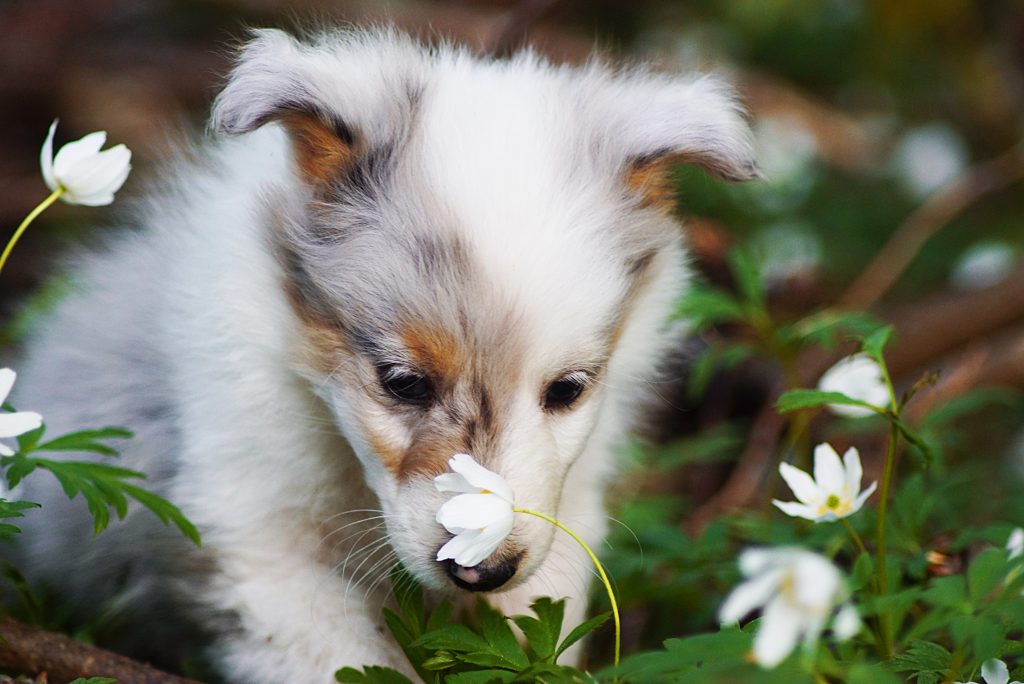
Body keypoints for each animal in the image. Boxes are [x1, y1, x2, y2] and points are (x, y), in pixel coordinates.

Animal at [9, 25, 761, 679]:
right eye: (402, 382)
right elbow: (350, 663)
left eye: (568, 390)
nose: (484, 569)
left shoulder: (564, 516)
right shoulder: (255, 541)